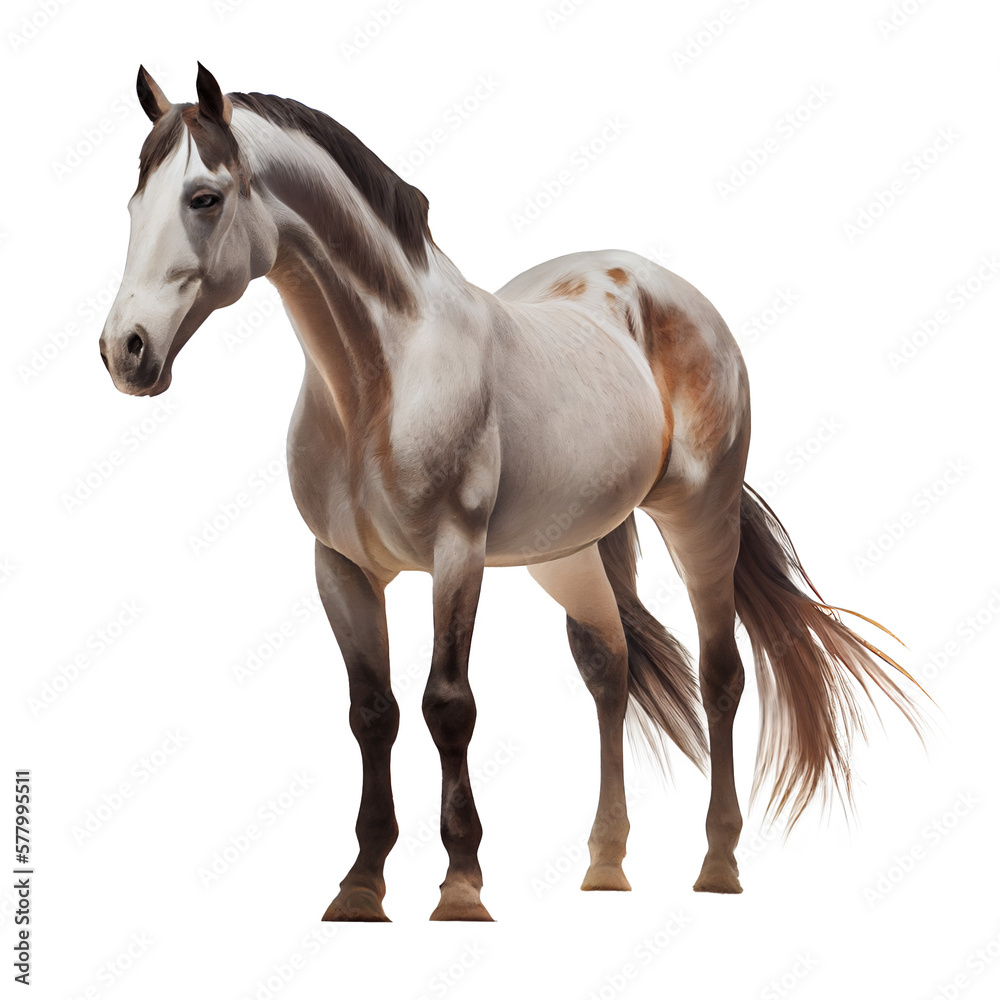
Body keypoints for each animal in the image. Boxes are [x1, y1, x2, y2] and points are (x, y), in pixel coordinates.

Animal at [99, 63, 928, 922]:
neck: (381, 384)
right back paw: (605, 864)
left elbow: (447, 705)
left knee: (721, 675)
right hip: (567, 554)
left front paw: (461, 884)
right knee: (609, 671)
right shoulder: (340, 566)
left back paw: (718, 864)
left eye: (203, 197)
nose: (125, 351)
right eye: (133, 203)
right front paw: (362, 882)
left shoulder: (456, 556)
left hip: (702, 517)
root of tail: (658, 285)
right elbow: (373, 712)